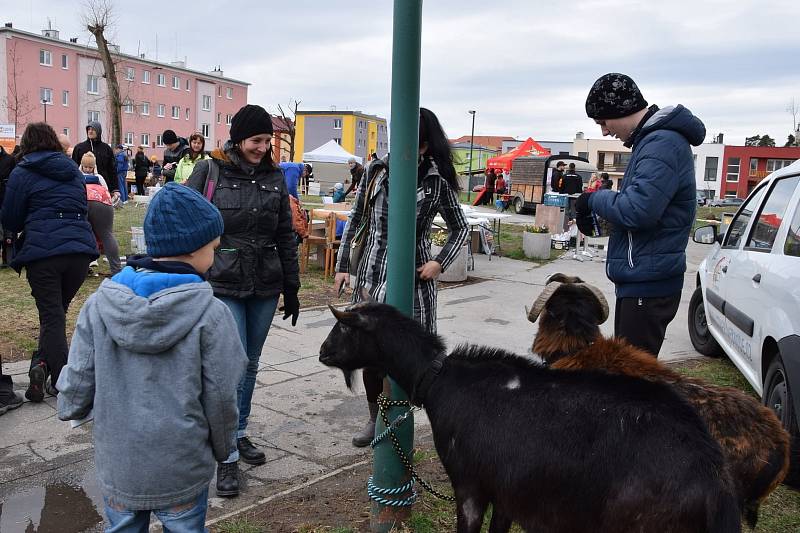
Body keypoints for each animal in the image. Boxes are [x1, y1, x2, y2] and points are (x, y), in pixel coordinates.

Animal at [318, 302, 744, 528]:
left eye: (343, 327)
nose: (322, 352)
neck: (438, 378)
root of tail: (713, 478)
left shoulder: (470, 487)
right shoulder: (508, 491)